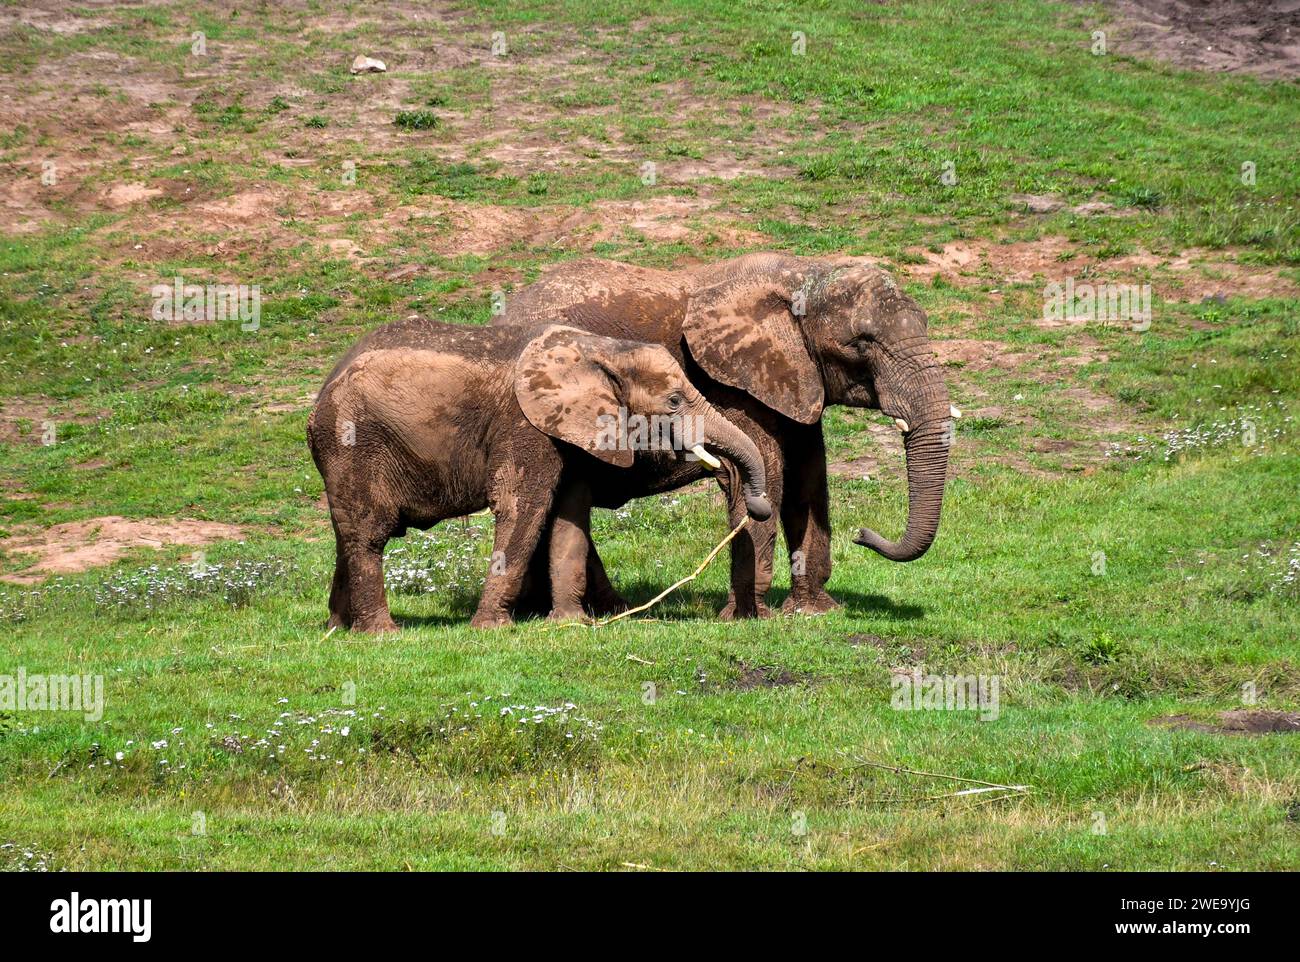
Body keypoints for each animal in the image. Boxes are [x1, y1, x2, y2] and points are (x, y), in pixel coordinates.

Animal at [306, 319, 769, 626]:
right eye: (673, 401)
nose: (757, 506)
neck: (602, 350)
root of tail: (316, 403)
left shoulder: (568, 432)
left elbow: (568, 515)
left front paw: (569, 626)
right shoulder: (524, 424)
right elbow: (523, 506)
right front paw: (492, 629)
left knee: (346, 533)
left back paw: (340, 630)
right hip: (352, 443)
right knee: (368, 533)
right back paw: (383, 634)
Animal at [496, 252, 956, 618]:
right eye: (861, 343)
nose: (863, 535)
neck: (803, 274)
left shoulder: (795, 378)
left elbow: (808, 481)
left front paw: (816, 612)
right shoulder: (731, 383)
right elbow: (764, 473)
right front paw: (750, 618)